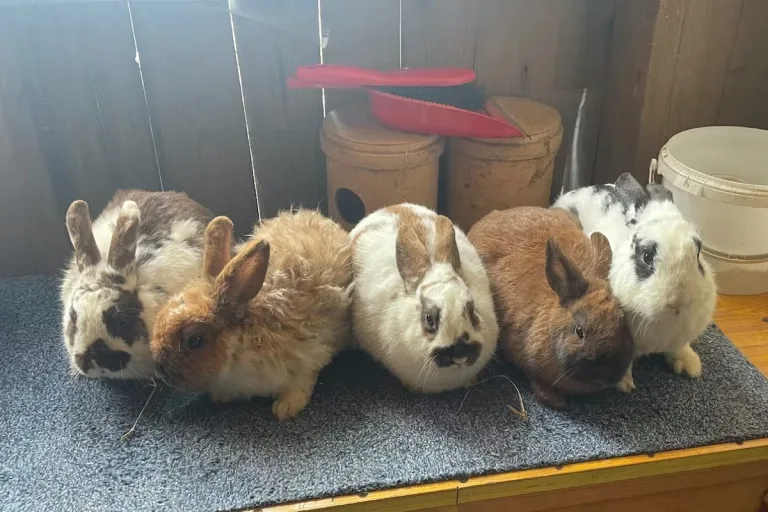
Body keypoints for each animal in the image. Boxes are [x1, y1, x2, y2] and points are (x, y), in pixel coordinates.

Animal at [151, 209, 353, 420]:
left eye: (195, 341)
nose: (159, 370)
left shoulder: (306, 358)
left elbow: (302, 384)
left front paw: (285, 408)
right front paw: (221, 397)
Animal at [553, 173, 716, 392]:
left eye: (698, 254)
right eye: (646, 256)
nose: (678, 303)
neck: (664, 321)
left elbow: (678, 348)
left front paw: (690, 366)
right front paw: (625, 384)